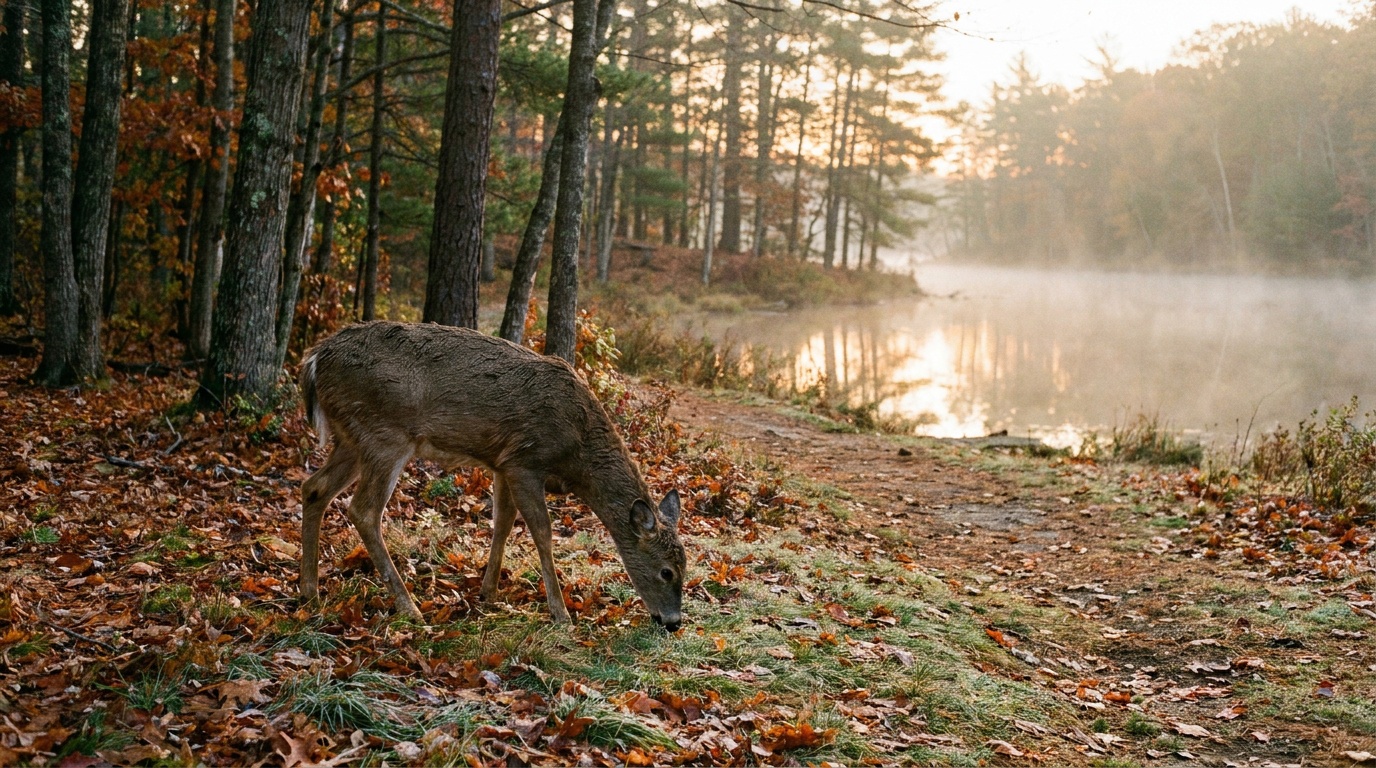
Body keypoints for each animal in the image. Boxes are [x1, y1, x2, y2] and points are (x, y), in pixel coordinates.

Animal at [297, 321, 686, 630]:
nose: (672, 623)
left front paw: (489, 593)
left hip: (351, 438)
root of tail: (314, 360)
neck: (579, 451)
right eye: (667, 571)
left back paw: (308, 591)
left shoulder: (502, 464)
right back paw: (409, 608)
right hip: (384, 434)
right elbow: (542, 532)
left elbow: (503, 522)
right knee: (363, 510)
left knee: (314, 487)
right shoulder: (525, 461)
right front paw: (560, 613)